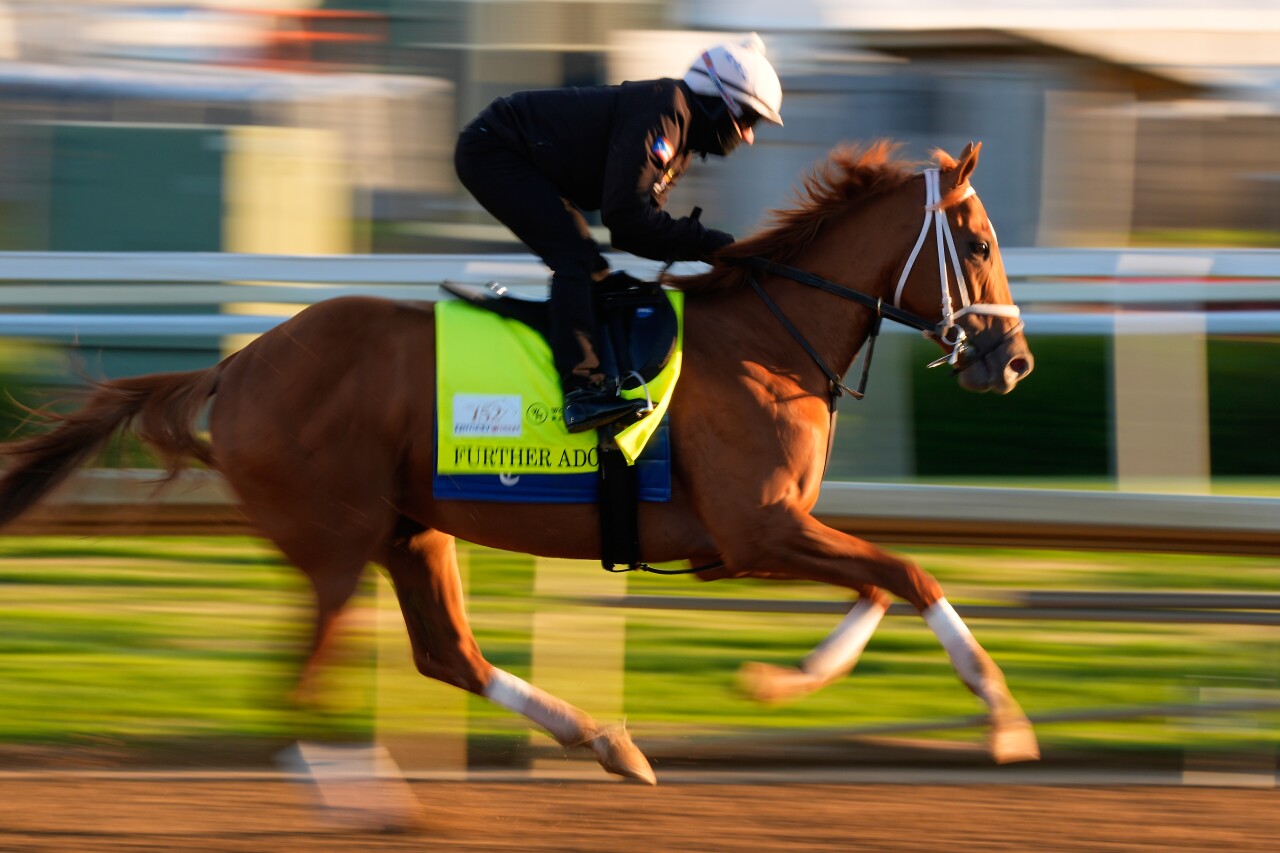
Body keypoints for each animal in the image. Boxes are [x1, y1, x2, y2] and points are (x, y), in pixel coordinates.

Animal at [0, 140, 1036, 787]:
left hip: (412, 529)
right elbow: (909, 572)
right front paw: (1000, 714)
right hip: (335, 540)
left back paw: (604, 739)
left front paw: (782, 680)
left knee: (445, 652)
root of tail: (238, 361)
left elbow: (878, 584)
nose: (1013, 360)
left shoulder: (758, 538)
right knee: (298, 689)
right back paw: (372, 799)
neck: (767, 340)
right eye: (981, 240)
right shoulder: (758, 529)